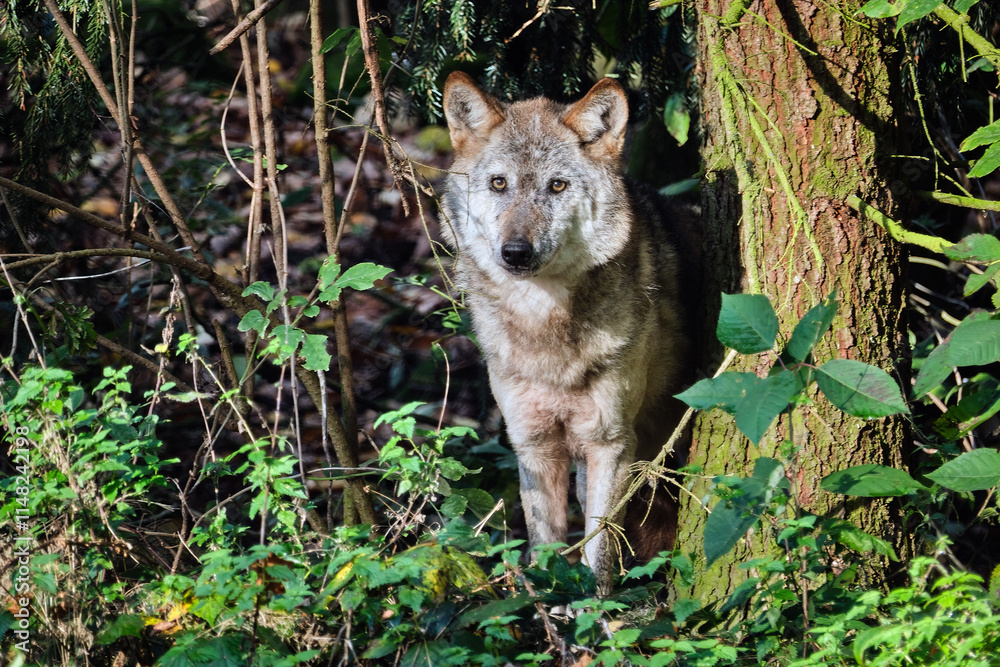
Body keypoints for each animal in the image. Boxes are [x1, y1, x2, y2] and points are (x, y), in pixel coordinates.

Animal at [440, 71, 699, 592]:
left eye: (556, 186)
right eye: (499, 183)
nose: (515, 252)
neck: (545, 326)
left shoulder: (610, 444)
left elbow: (598, 550)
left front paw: (595, 609)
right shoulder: (533, 444)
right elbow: (546, 549)